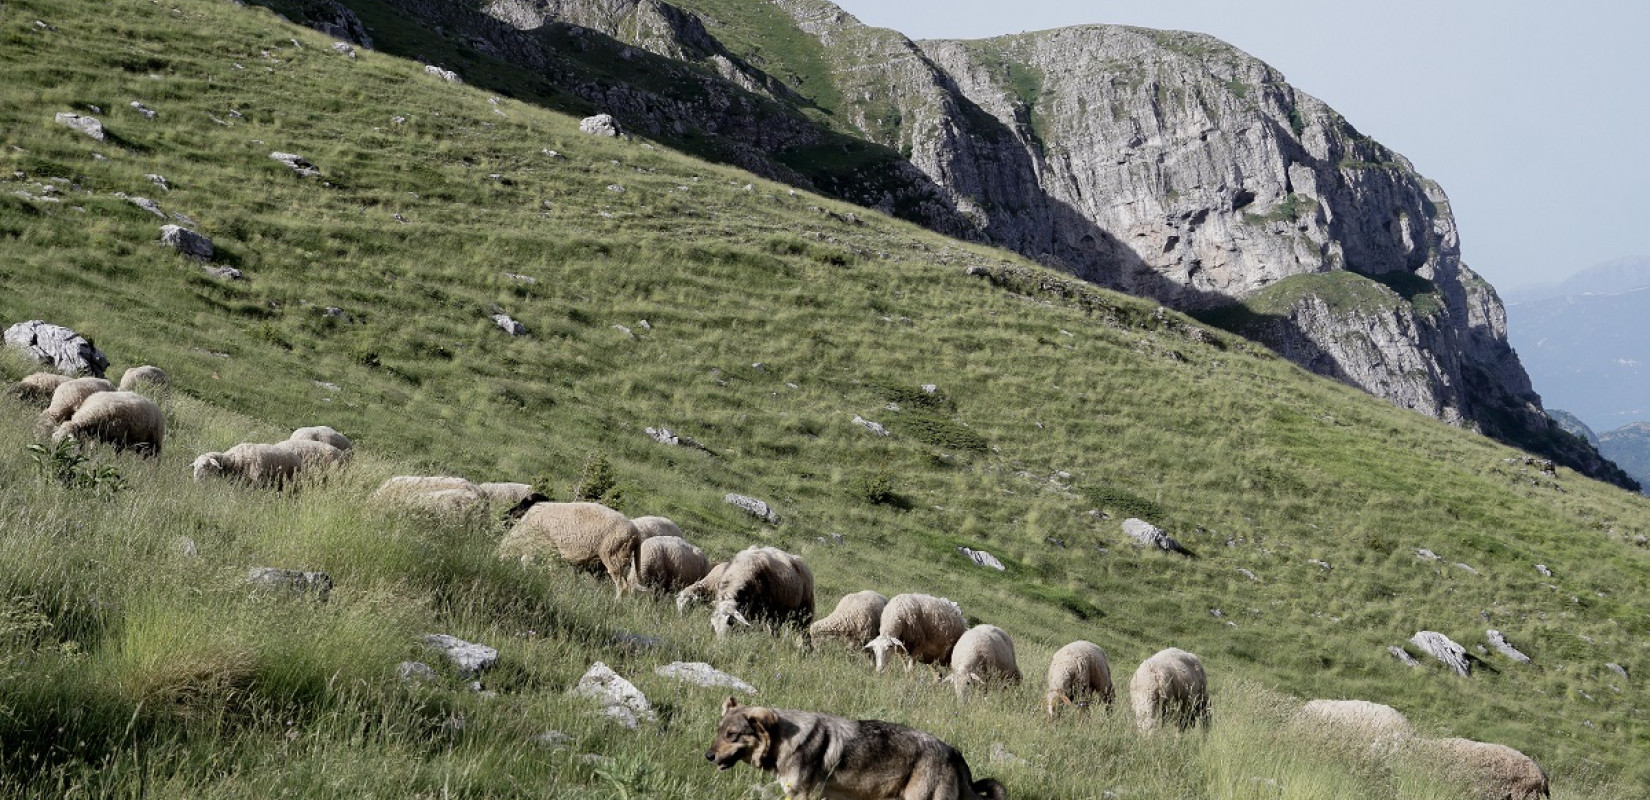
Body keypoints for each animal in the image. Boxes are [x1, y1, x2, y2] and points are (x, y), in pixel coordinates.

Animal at [491, 501, 640, 597]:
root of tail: (636, 533)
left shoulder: (549, 549)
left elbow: (542, 567)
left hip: (613, 555)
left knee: (622, 586)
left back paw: (616, 604)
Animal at [699, 692, 1003, 798]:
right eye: (718, 731)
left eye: (732, 735)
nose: (708, 756)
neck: (787, 742)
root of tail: (953, 751)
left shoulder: (803, 797)